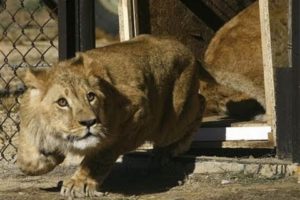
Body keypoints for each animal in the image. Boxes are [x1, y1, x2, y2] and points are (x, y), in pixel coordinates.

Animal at [17, 35, 206, 198]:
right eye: (62, 102)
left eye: (90, 97)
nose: (89, 122)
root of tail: (182, 46)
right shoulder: (30, 124)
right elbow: (26, 162)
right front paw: (51, 157)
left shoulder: (138, 108)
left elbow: (102, 153)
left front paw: (80, 183)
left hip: (170, 123)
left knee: (200, 104)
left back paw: (169, 150)